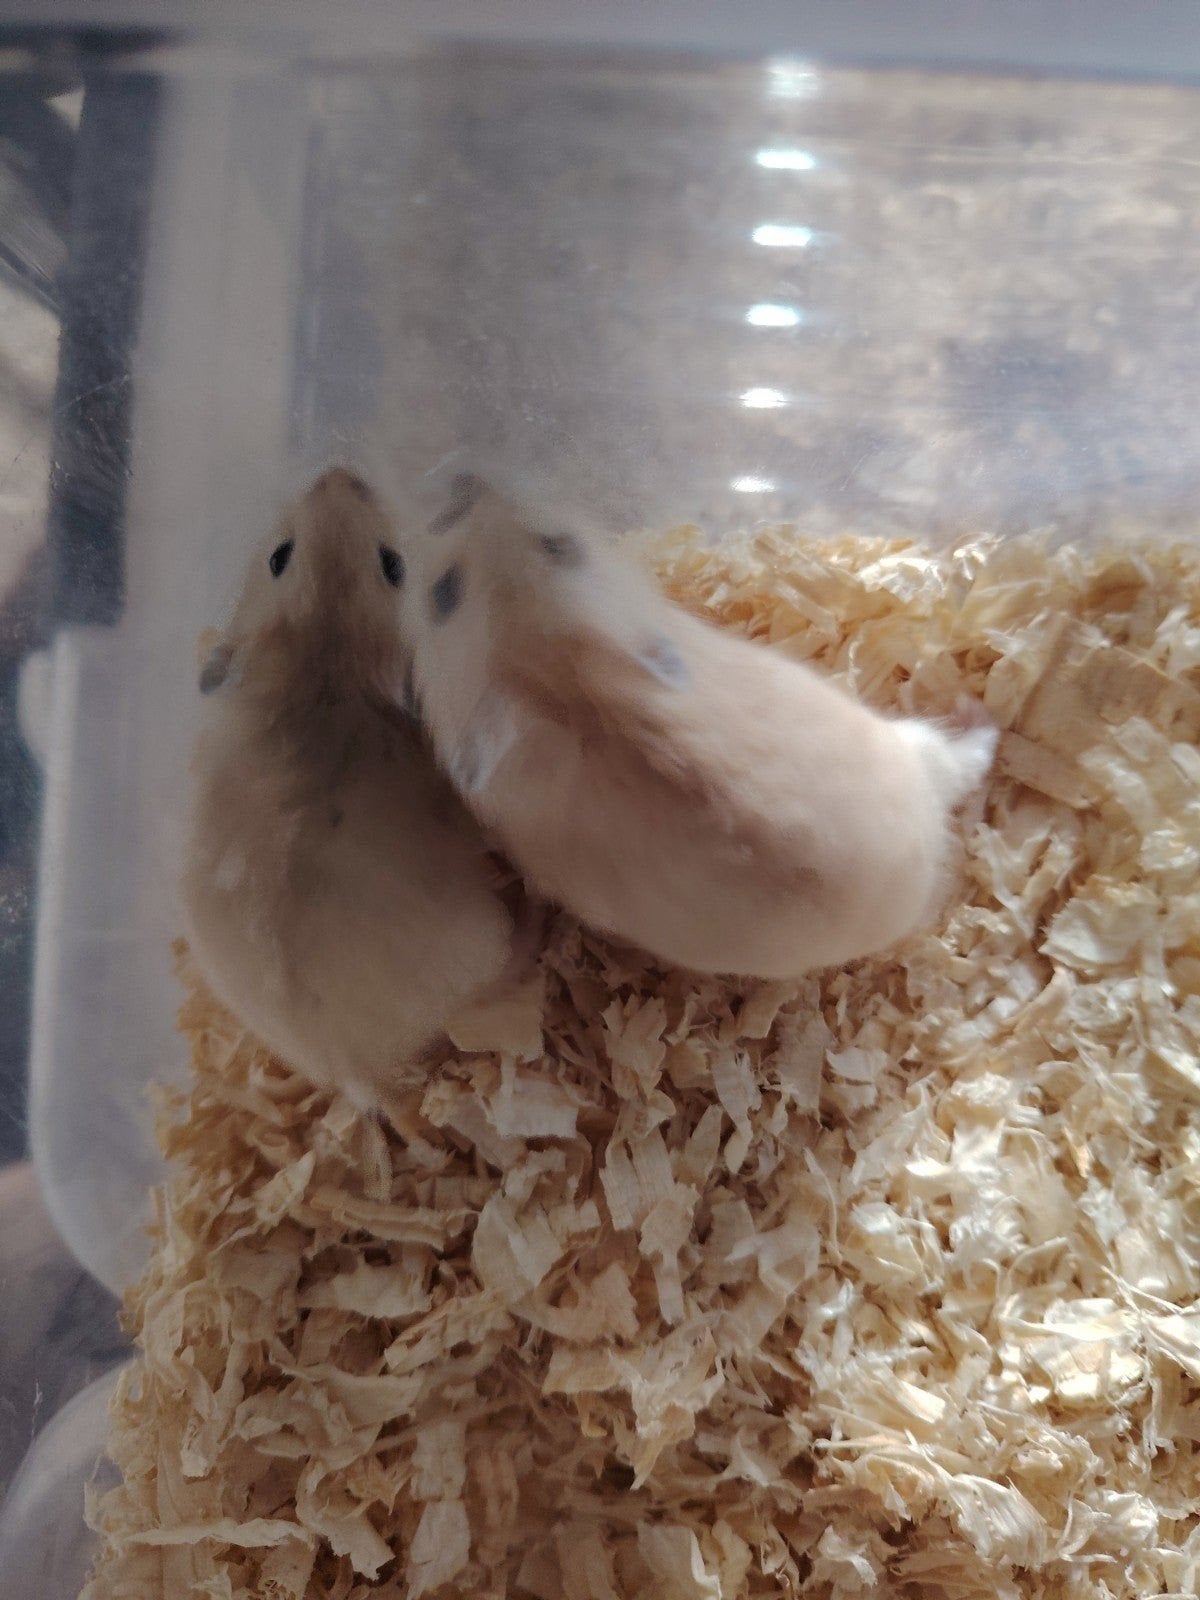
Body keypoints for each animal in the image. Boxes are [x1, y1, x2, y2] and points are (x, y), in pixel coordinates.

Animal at [182, 468, 520, 1107]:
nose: (337, 471)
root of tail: (348, 1072)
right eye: (394, 564)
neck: (321, 661)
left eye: (278, 555)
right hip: (486, 946)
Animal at [394, 477, 996, 980]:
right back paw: (975, 710)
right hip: (910, 744)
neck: (565, 670)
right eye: (444, 590)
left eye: (558, 544)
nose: (470, 480)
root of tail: (931, 822)